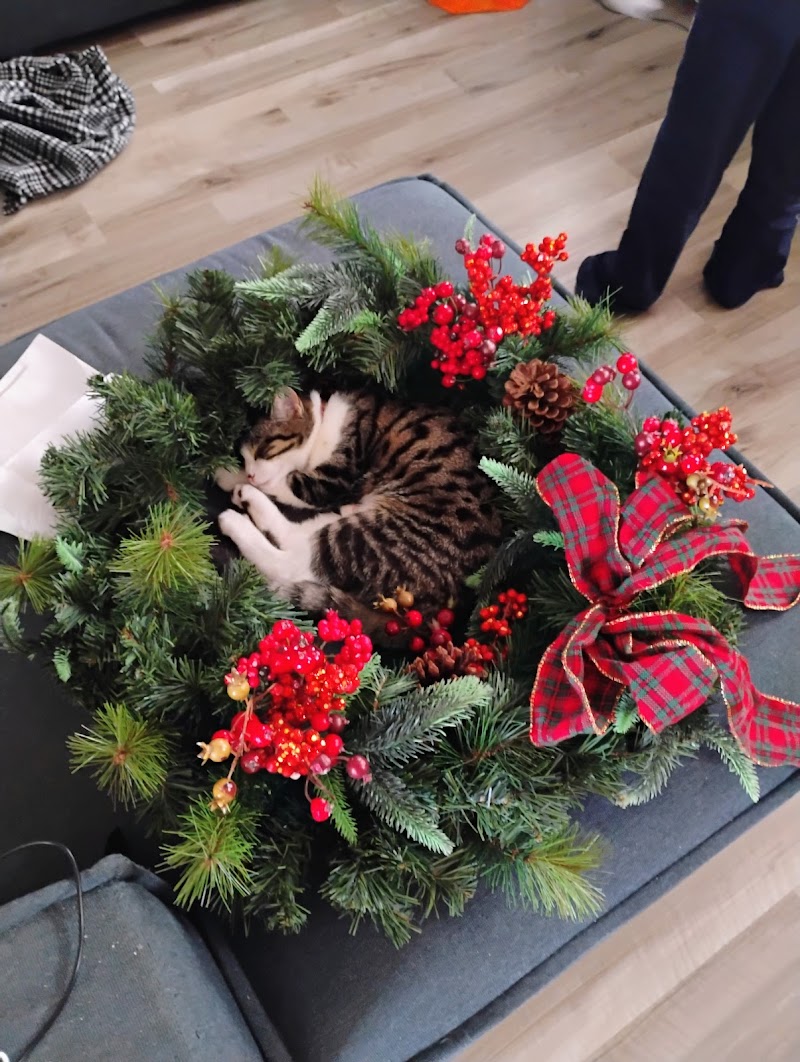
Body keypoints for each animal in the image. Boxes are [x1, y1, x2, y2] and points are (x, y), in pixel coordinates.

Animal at [215, 388, 502, 634]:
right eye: (245, 458)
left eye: (263, 450)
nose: (250, 474)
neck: (326, 422)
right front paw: (230, 474)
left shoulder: (332, 479)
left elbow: (285, 482)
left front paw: (238, 479)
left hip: (376, 536)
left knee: (294, 560)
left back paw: (237, 515)